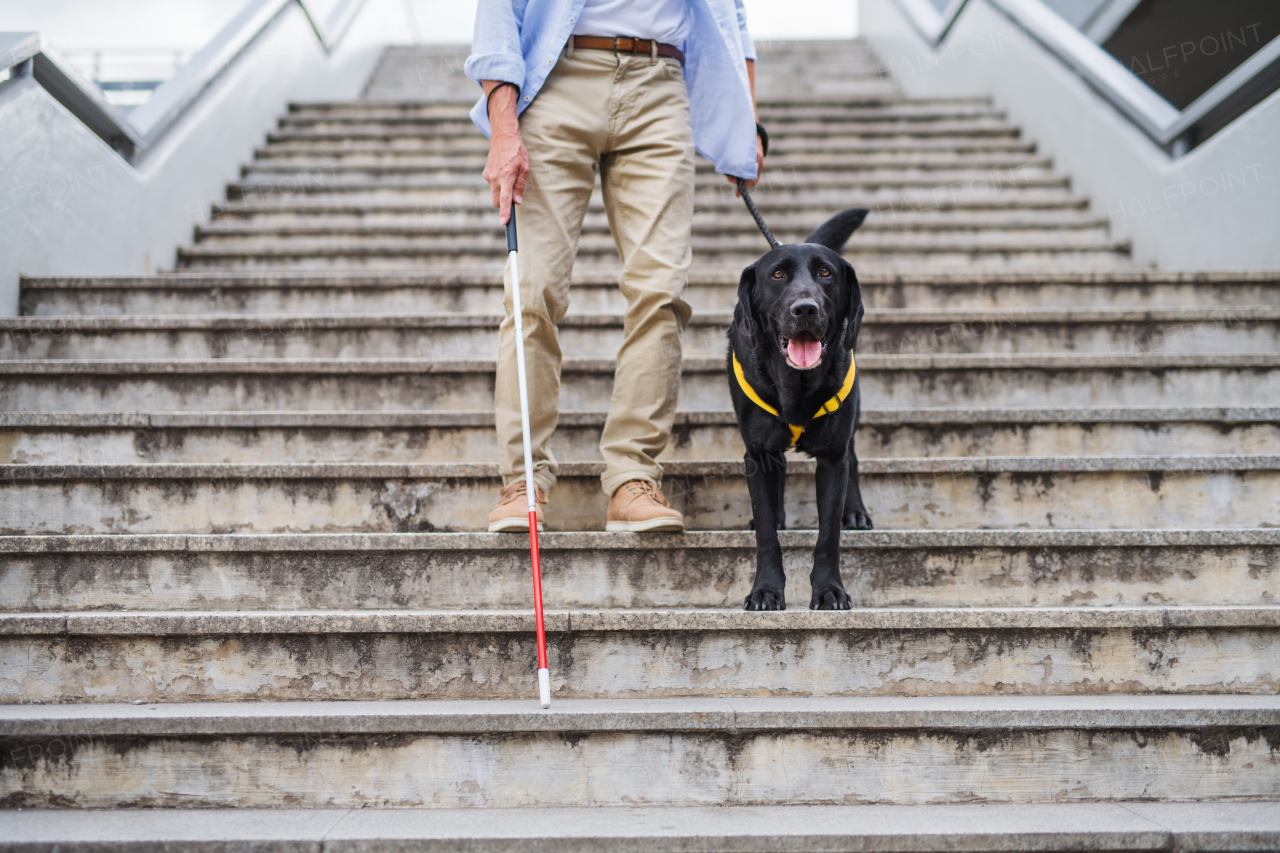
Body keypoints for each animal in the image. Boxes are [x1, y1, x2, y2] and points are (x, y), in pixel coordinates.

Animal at [732, 210, 870, 612]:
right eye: (777, 275)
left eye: (826, 272)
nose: (805, 308)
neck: (797, 384)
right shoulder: (756, 454)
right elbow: (766, 533)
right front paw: (765, 591)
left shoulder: (832, 459)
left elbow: (828, 536)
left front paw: (829, 590)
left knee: (854, 455)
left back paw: (855, 512)